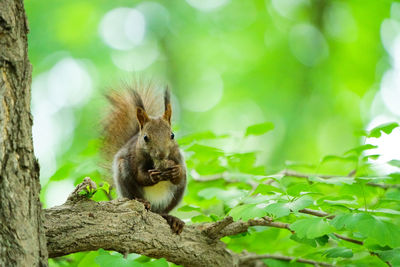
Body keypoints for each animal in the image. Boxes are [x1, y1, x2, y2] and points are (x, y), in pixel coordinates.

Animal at [100, 83, 188, 234]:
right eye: (146, 138)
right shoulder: (136, 158)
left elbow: (179, 177)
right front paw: (152, 176)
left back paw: (171, 218)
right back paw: (143, 202)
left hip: (177, 193)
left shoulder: (177, 157)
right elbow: (140, 176)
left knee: (162, 211)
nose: (162, 154)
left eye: (172, 135)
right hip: (124, 177)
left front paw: (176, 172)